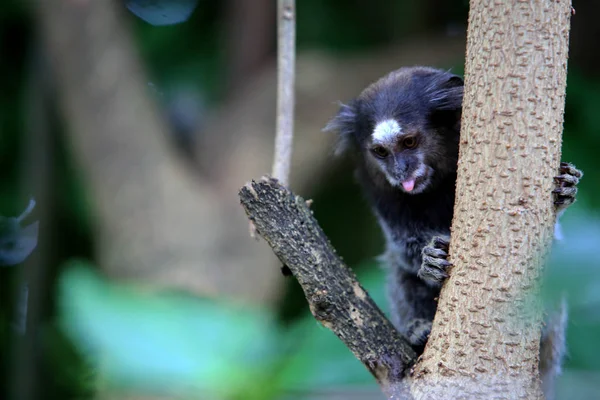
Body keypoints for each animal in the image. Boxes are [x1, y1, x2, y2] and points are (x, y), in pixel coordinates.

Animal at [326, 65, 584, 394]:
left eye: (409, 142)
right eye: (380, 151)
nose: (400, 171)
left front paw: (566, 188)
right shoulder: (381, 192)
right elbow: (402, 246)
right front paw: (430, 260)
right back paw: (418, 332)